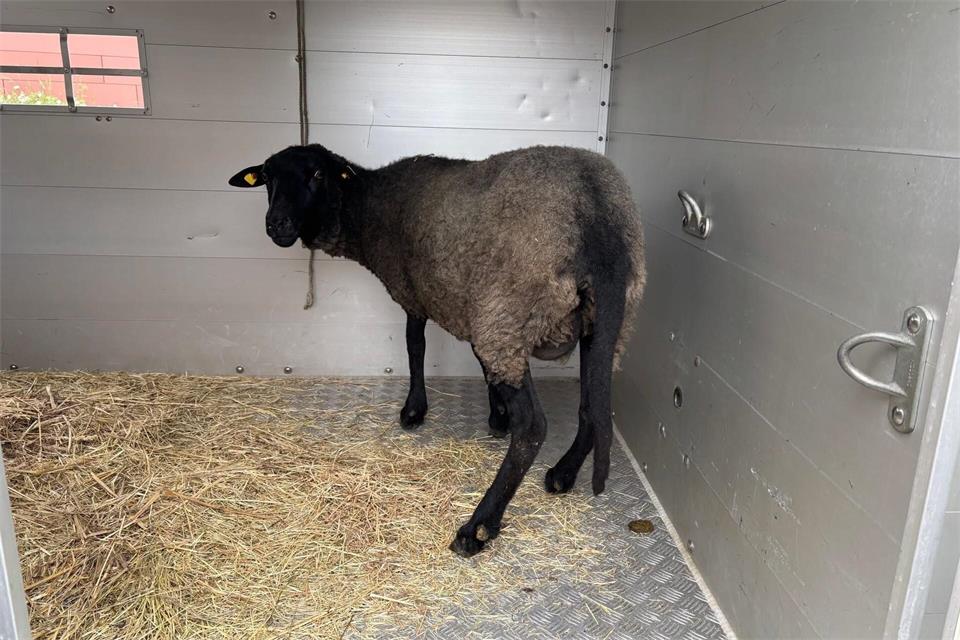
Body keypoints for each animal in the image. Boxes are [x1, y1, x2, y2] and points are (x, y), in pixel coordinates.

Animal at [228, 144, 645, 557]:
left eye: (316, 174)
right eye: (267, 177)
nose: (277, 224)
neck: (368, 205)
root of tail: (596, 215)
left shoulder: (420, 296)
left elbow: (416, 347)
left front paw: (414, 410)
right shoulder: (469, 305)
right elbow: (480, 362)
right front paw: (497, 415)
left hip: (510, 313)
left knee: (533, 427)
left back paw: (478, 527)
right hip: (601, 323)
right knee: (593, 403)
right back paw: (564, 472)